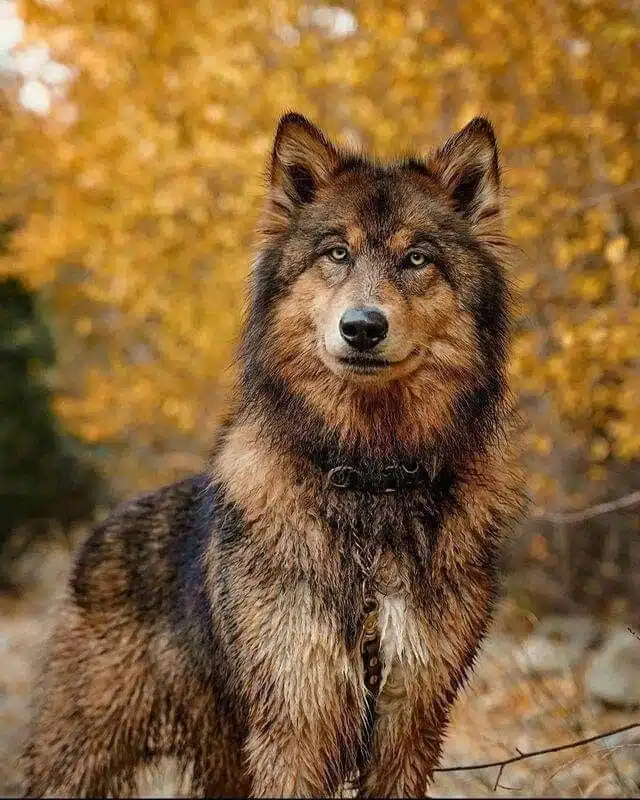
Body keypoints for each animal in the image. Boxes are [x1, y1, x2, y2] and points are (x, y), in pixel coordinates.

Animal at [23, 114, 524, 800]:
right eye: (336, 253)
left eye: (416, 258)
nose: (361, 327)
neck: (369, 478)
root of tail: (103, 529)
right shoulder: (295, 724)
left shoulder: (410, 725)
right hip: (83, 758)